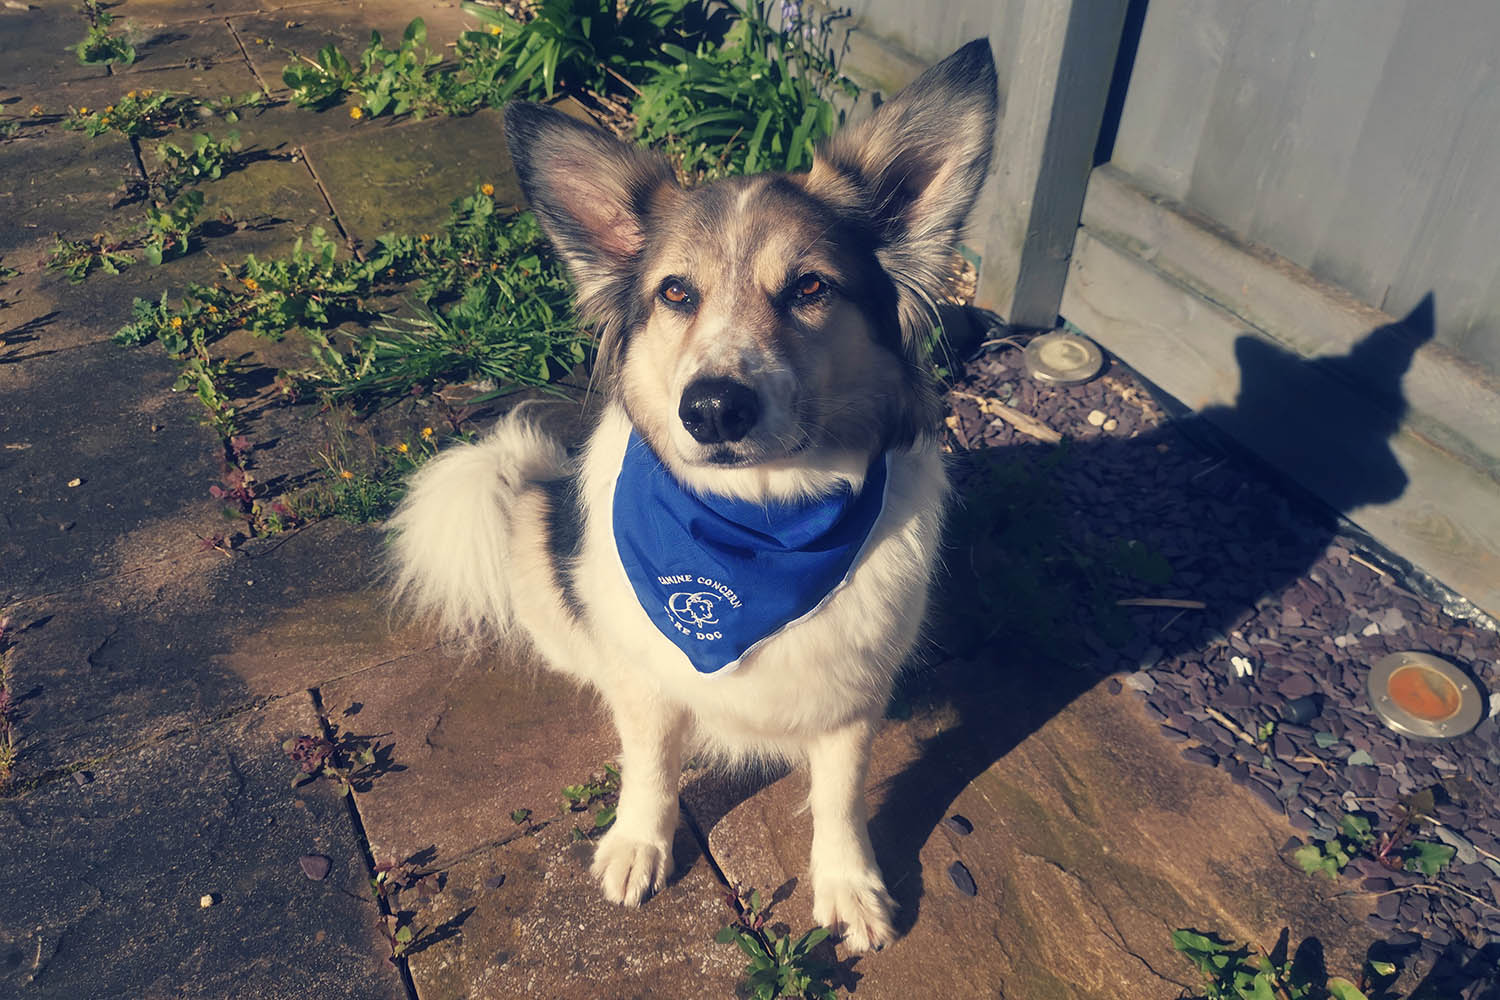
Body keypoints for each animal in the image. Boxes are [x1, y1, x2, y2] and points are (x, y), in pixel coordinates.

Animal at [390, 41, 996, 953]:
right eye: (677, 292)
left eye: (811, 288)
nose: (712, 408)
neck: (759, 525)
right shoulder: (651, 676)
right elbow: (649, 764)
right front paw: (639, 843)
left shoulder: (853, 697)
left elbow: (842, 796)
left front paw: (849, 883)